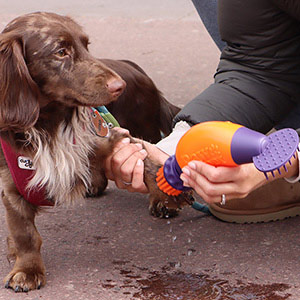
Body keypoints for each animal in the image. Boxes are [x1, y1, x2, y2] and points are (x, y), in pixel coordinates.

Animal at [0, 12, 191, 292]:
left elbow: (147, 162)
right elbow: (24, 234)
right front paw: (27, 270)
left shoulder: (108, 137)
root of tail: (135, 69)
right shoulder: (12, 186)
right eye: (61, 51)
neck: (49, 124)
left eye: (86, 46)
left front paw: (168, 192)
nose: (119, 86)